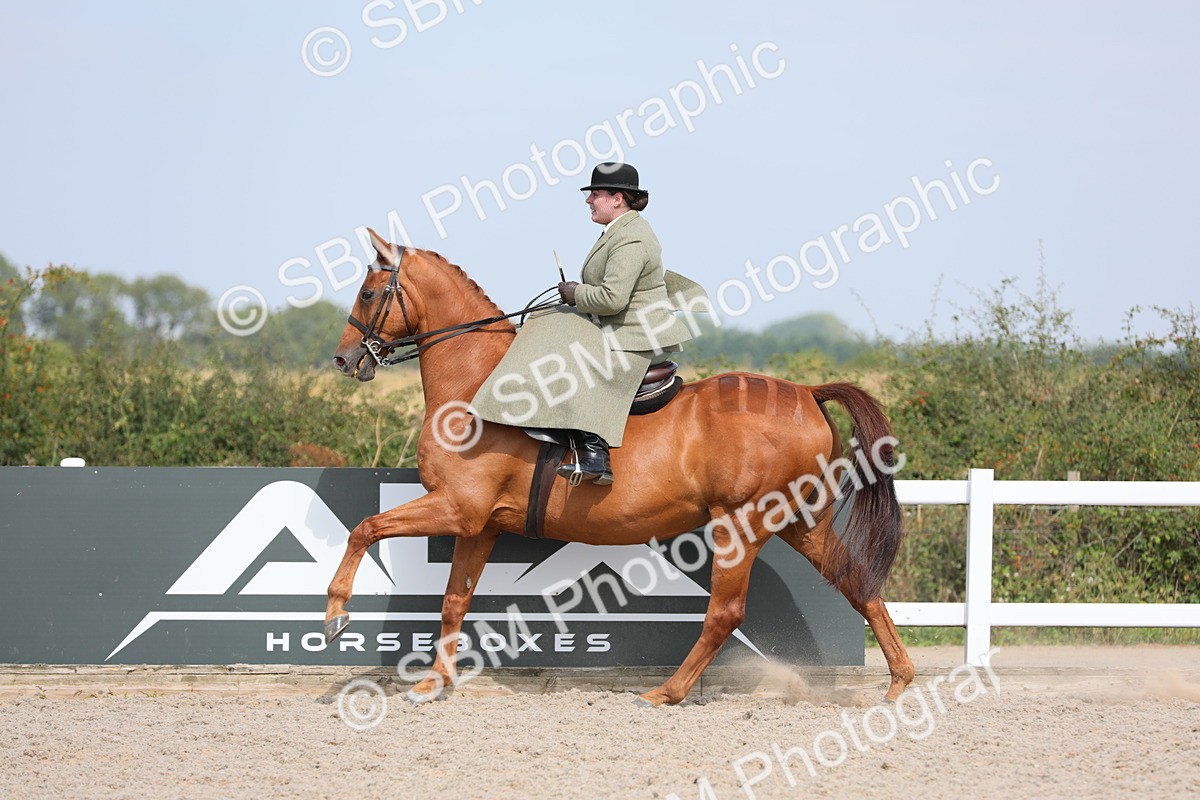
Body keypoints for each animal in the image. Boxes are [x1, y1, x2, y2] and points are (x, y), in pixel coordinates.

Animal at [325, 229, 914, 706]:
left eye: (368, 292)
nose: (344, 359)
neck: (474, 386)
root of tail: (808, 393)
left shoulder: (457, 508)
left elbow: (365, 528)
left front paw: (335, 617)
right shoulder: (479, 526)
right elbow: (453, 602)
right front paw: (432, 683)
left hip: (740, 523)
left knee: (726, 613)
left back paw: (665, 693)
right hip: (800, 521)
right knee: (857, 582)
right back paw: (898, 681)